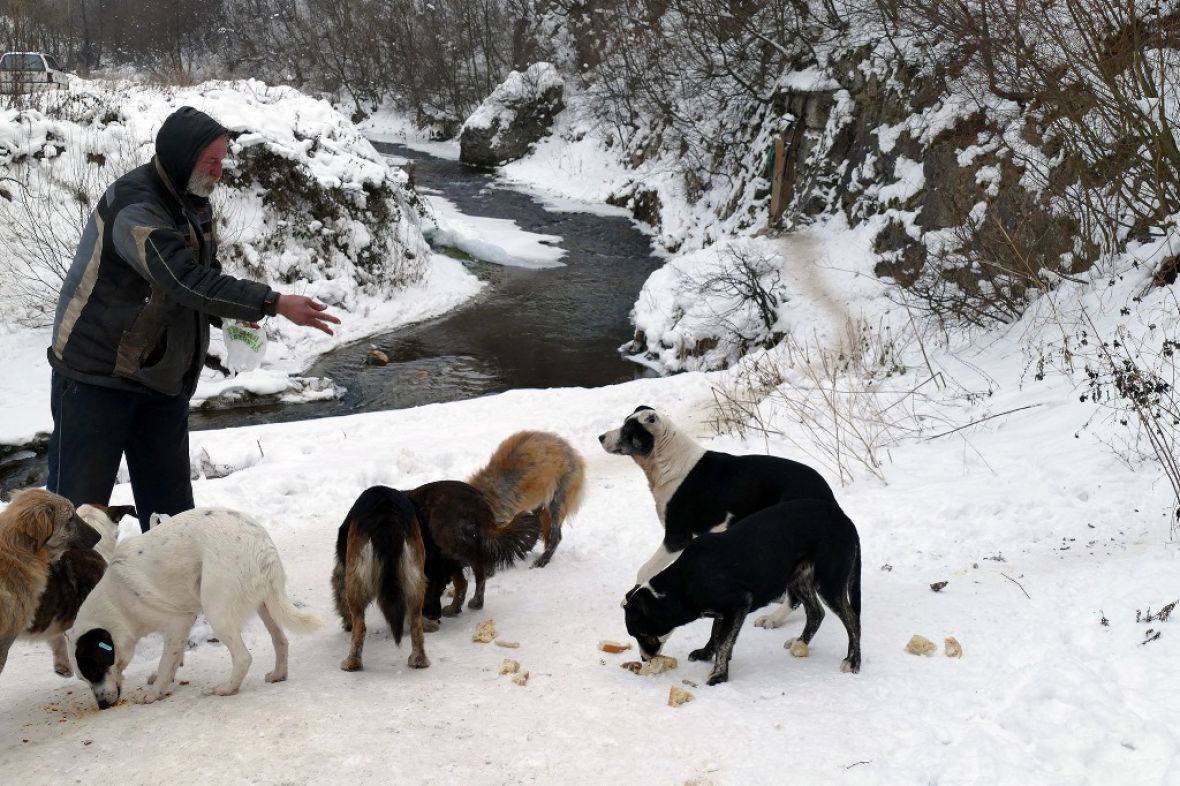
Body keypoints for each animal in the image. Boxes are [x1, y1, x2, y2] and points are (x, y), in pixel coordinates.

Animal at [70, 505, 320, 708]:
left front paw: (154, 693)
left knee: (243, 658)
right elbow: (172, 659)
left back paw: (227, 688)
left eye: (94, 668)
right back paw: (278, 674)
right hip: (266, 605)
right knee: (281, 640)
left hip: (216, 611)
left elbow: (165, 663)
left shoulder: (178, 622)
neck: (116, 605)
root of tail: (262, 544)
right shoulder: (177, 630)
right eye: (85, 677)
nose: (102, 705)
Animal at [464, 429, 585, 564]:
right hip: (538, 504)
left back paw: (543, 560)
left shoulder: (501, 523)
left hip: (556, 504)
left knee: (556, 537)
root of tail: (575, 455)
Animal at [599, 405, 840, 627]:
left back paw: (774, 619)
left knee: (795, 596)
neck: (666, 459)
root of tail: (825, 491)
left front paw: (630, 597)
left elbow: (645, 569)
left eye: (628, 429)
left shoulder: (677, 538)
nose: (600, 437)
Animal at [623, 498, 863, 684]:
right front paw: (706, 654)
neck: (682, 583)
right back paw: (801, 642)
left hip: (829, 583)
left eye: (641, 633)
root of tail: (846, 521)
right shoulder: (723, 611)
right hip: (799, 579)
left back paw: (853, 661)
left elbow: (724, 641)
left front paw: (719, 675)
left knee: (852, 620)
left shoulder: (739, 604)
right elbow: (716, 634)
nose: (644, 660)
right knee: (816, 613)